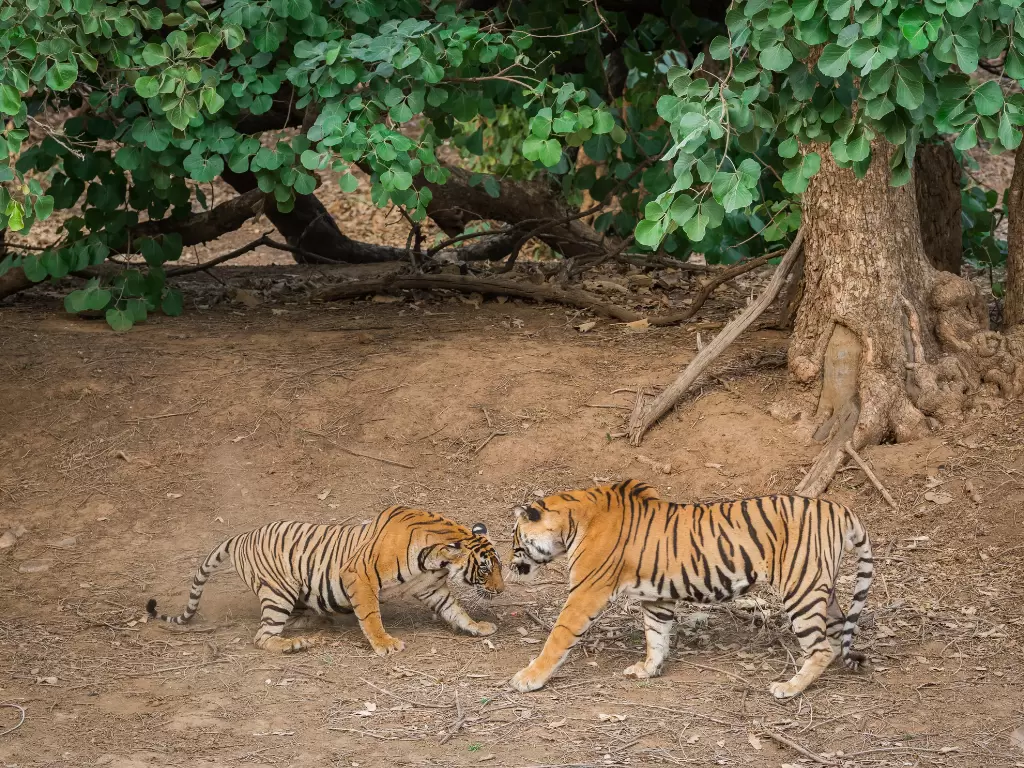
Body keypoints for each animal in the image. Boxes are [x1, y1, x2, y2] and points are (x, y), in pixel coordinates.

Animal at [146, 507, 505, 655]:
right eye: (485, 568)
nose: (501, 590)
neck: (432, 560)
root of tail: (240, 536)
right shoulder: (359, 576)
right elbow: (371, 617)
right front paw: (385, 644)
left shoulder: (430, 587)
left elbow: (455, 609)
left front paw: (477, 627)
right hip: (279, 592)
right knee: (262, 636)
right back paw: (294, 644)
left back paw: (317, 624)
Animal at [508, 479, 873, 699]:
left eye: (515, 538)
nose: (510, 565)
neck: (571, 522)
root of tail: (840, 508)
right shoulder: (657, 598)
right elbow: (656, 636)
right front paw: (647, 670)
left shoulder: (586, 592)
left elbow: (558, 637)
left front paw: (528, 677)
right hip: (820, 588)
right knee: (837, 632)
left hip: (801, 589)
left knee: (820, 647)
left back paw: (789, 687)